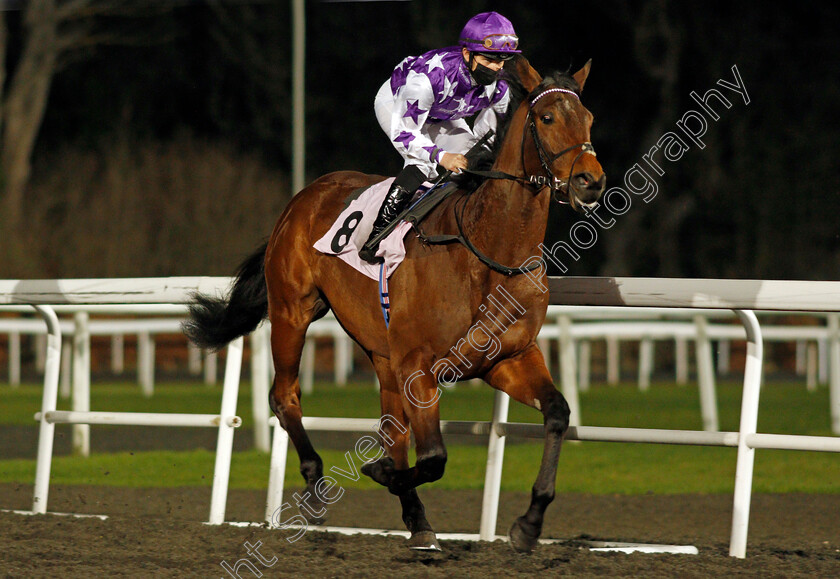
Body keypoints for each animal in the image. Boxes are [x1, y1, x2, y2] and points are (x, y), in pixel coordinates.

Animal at [184, 57, 604, 552]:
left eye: (589, 118)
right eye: (547, 117)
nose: (591, 181)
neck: (485, 250)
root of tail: (302, 197)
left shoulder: (507, 357)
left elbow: (556, 414)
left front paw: (529, 522)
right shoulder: (418, 363)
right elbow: (435, 456)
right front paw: (380, 473)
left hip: (381, 349)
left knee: (391, 427)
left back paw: (416, 519)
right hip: (293, 311)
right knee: (285, 396)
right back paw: (317, 490)